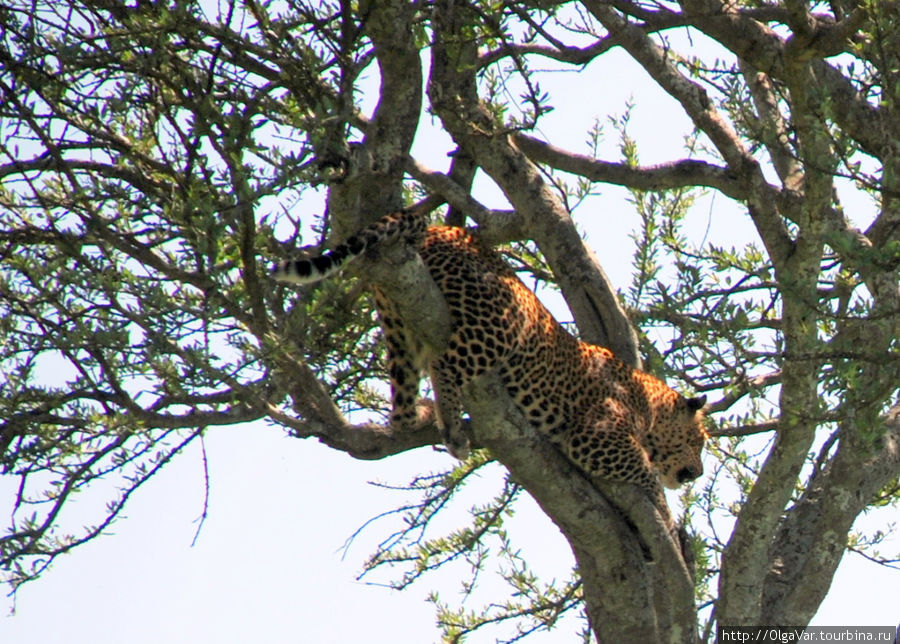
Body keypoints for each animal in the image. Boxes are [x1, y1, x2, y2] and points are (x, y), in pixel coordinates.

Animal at [270, 209, 708, 520]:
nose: (700, 473)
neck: (646, 397)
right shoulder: (595, 435)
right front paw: (665, 509)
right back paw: (450, 424)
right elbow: (643, 468)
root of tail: (441, 229)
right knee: (445, 364)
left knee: (402, 407)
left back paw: (424, 416)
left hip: (396, 323)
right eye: (699, 441)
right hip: (500, 327)